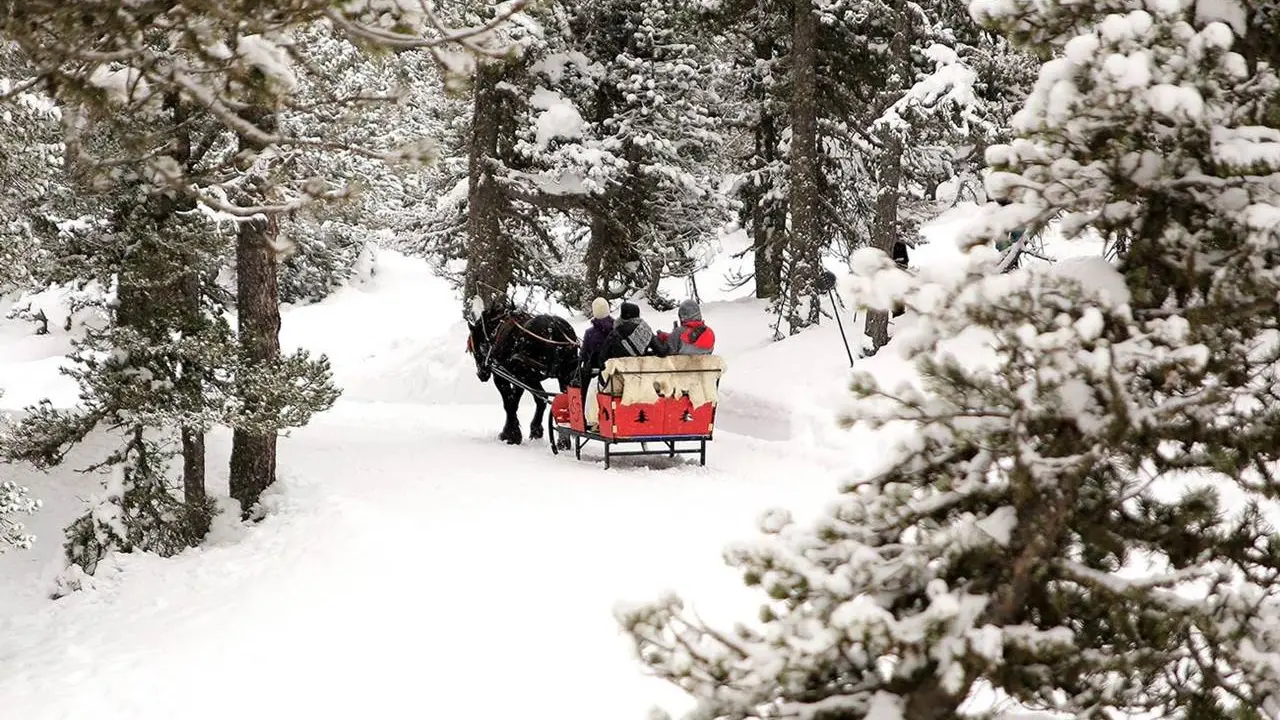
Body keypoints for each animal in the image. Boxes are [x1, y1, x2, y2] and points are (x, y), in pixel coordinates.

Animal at [463, 295, 578, 443]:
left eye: (473, 349)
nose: (481, 374)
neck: (496, 329)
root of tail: (554, 328)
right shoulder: (524, 379)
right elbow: (531, 400)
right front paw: (530, 431)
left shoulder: (503, 376)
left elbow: (509, 403)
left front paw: (510, 434)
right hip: (562, 376)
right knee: (562, 399)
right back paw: (563, 440)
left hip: (527, 374)